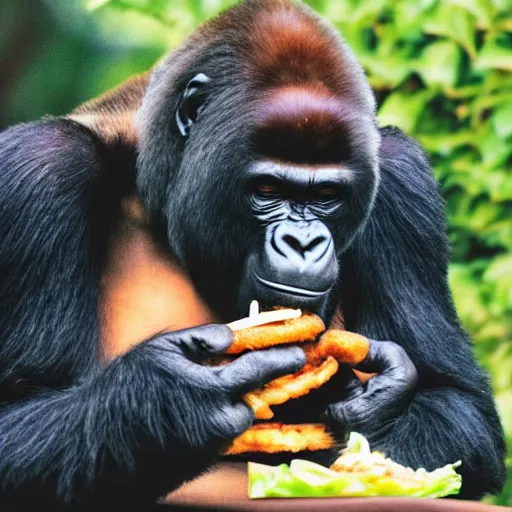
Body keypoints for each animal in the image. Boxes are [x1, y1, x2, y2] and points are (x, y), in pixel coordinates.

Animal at [0, 0, 504, 508]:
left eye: (327, 195)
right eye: (266, 190)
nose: (303, 243)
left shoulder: (402, 173)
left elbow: (461, 405)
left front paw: (379, 403)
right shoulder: (42, 167)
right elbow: (17, 411)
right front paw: (168, 400)